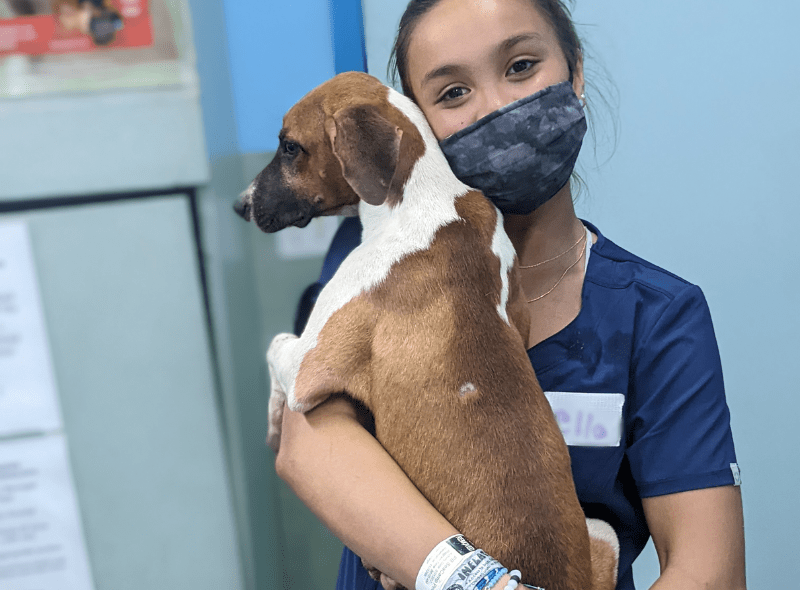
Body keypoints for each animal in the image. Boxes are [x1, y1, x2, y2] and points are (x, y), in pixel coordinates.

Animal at [234, 73, 620, 590]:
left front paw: (274, 421)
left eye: (290, 146)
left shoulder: (308, 366)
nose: (240, 205)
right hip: (603, 530)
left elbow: (276, 348)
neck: (418, 199)